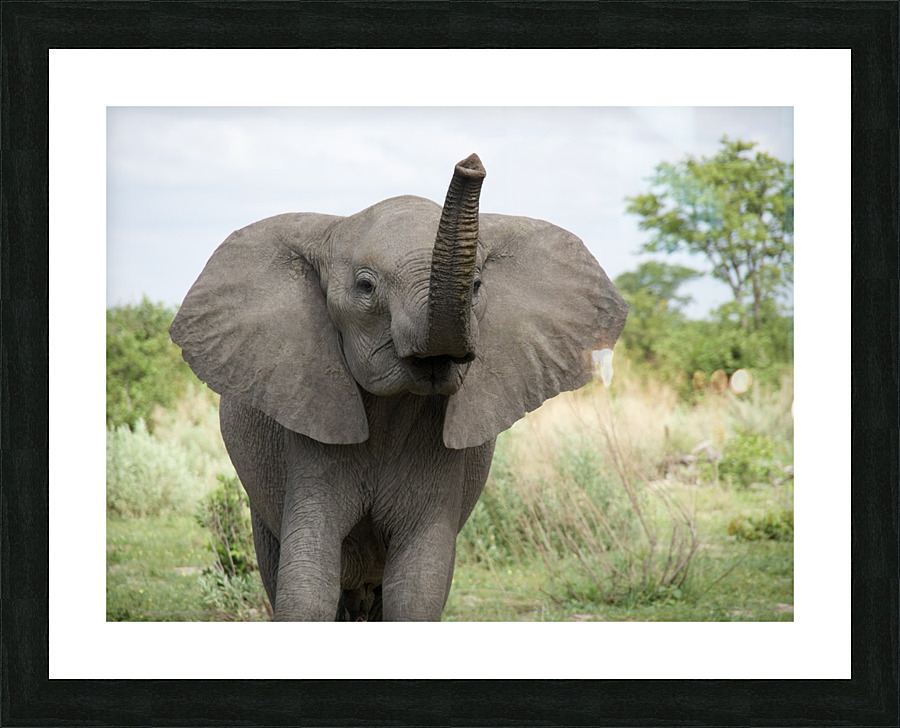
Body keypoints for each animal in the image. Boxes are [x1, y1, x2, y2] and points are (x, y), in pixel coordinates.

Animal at [170, 153, 628, 621]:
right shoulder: (308, 425)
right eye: (365, 286)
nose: (471, 163)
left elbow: (417, 588)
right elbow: (307, 581)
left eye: (478, 286)